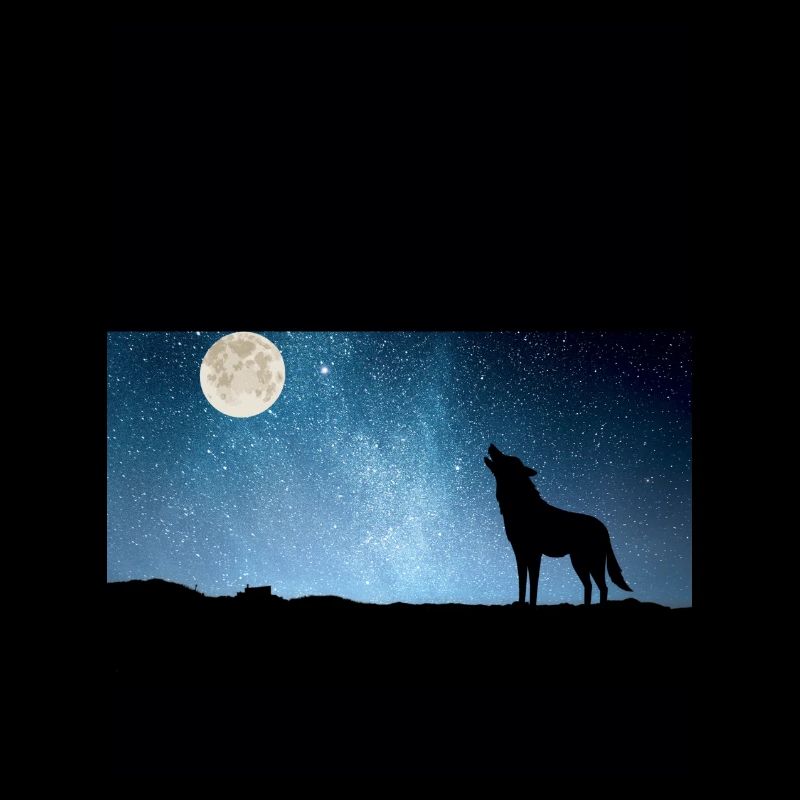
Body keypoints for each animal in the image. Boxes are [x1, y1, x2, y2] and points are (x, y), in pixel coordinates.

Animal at [484, 443, 633, 605]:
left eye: (507, 458)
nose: (491, 445)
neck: (519, 503)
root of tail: (604, 528)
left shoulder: (535, 554)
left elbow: (533, 585)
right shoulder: (519, 553)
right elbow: (522, 584)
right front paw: (522, 603)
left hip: (593, 563)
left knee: (603, 587)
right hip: (579, 563)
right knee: (589, 585)